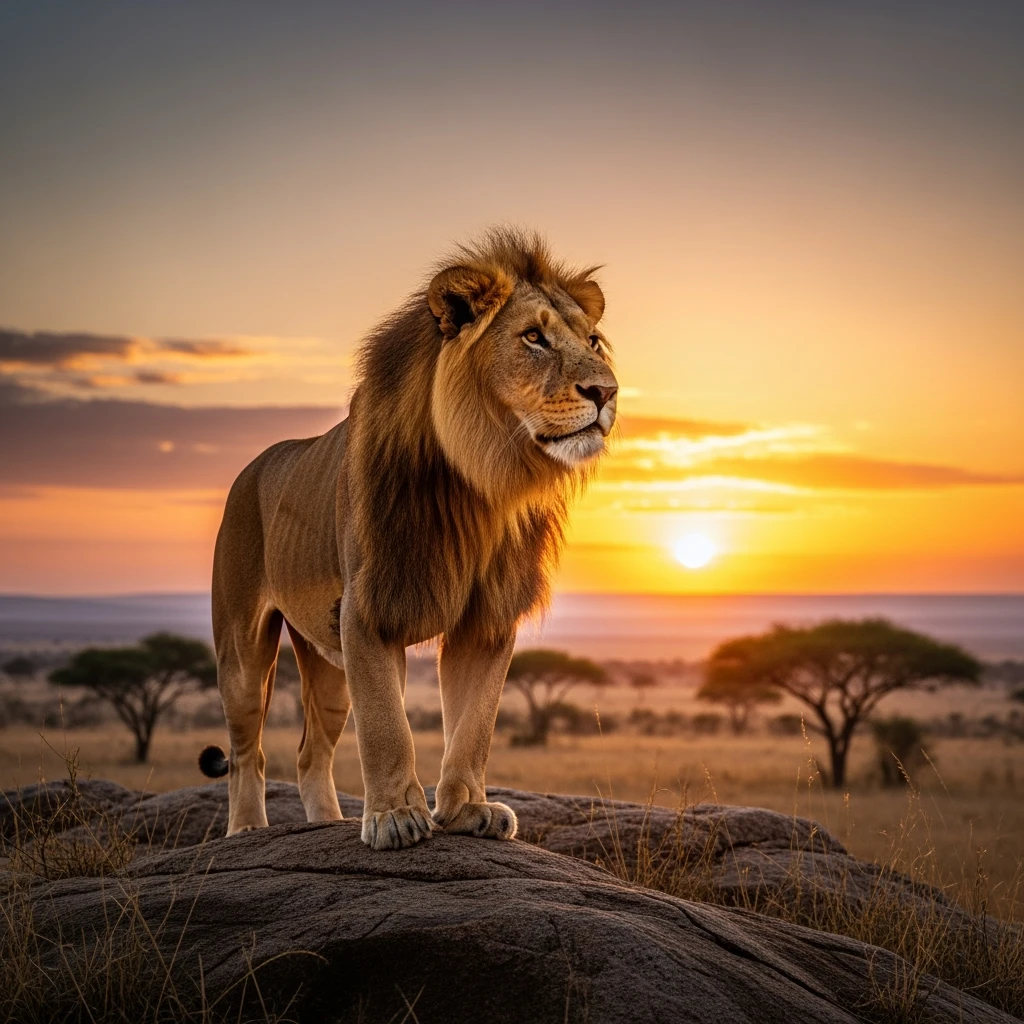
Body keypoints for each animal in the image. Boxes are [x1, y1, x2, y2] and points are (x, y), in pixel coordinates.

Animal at [198, 228, 618, 849]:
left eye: (592, 340)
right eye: (533, 337)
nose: (606, 392)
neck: (485, 482)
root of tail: (253, 467)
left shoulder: (487, 618)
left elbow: (474, 723)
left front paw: (468, 809)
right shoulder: (369, 607)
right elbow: (386, 724)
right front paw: (395, 817)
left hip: (326, 662)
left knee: (309, 753)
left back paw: (327, 823)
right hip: (243, 648)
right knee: (248, 750)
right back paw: (247, 830)